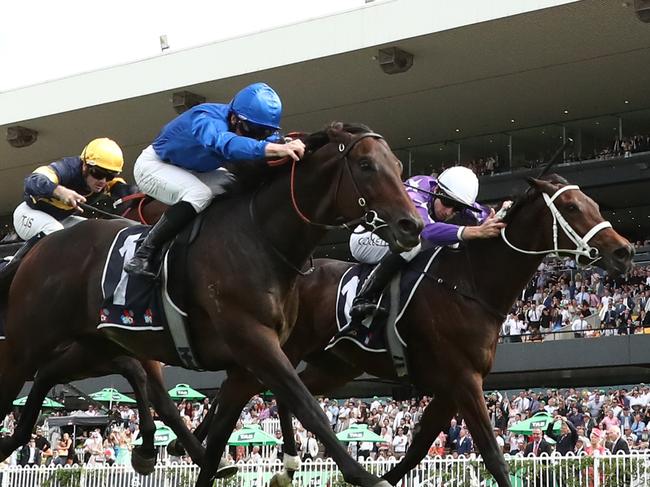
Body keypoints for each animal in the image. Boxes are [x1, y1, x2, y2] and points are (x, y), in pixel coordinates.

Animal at [0, 123, 420, 487]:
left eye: (400, 168)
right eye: (365, 165)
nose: (412, 225)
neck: (259, 237)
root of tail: (41, 246)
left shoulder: (246, 365)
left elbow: (224, 435)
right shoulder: (255, 343)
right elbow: (308, 407)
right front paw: (367, 476)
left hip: (95, 345)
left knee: (53, 374)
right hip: (27, 343)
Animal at [181, 173, 628, 486]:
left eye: (591, 202)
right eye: (571, 206)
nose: (623, 251)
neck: (470, 283)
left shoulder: (453, 388)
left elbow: (415, 453)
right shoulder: (463, 380)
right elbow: (493, 455)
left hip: (334, 365)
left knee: (283, 395)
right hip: (277, 348)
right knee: (247, 391)